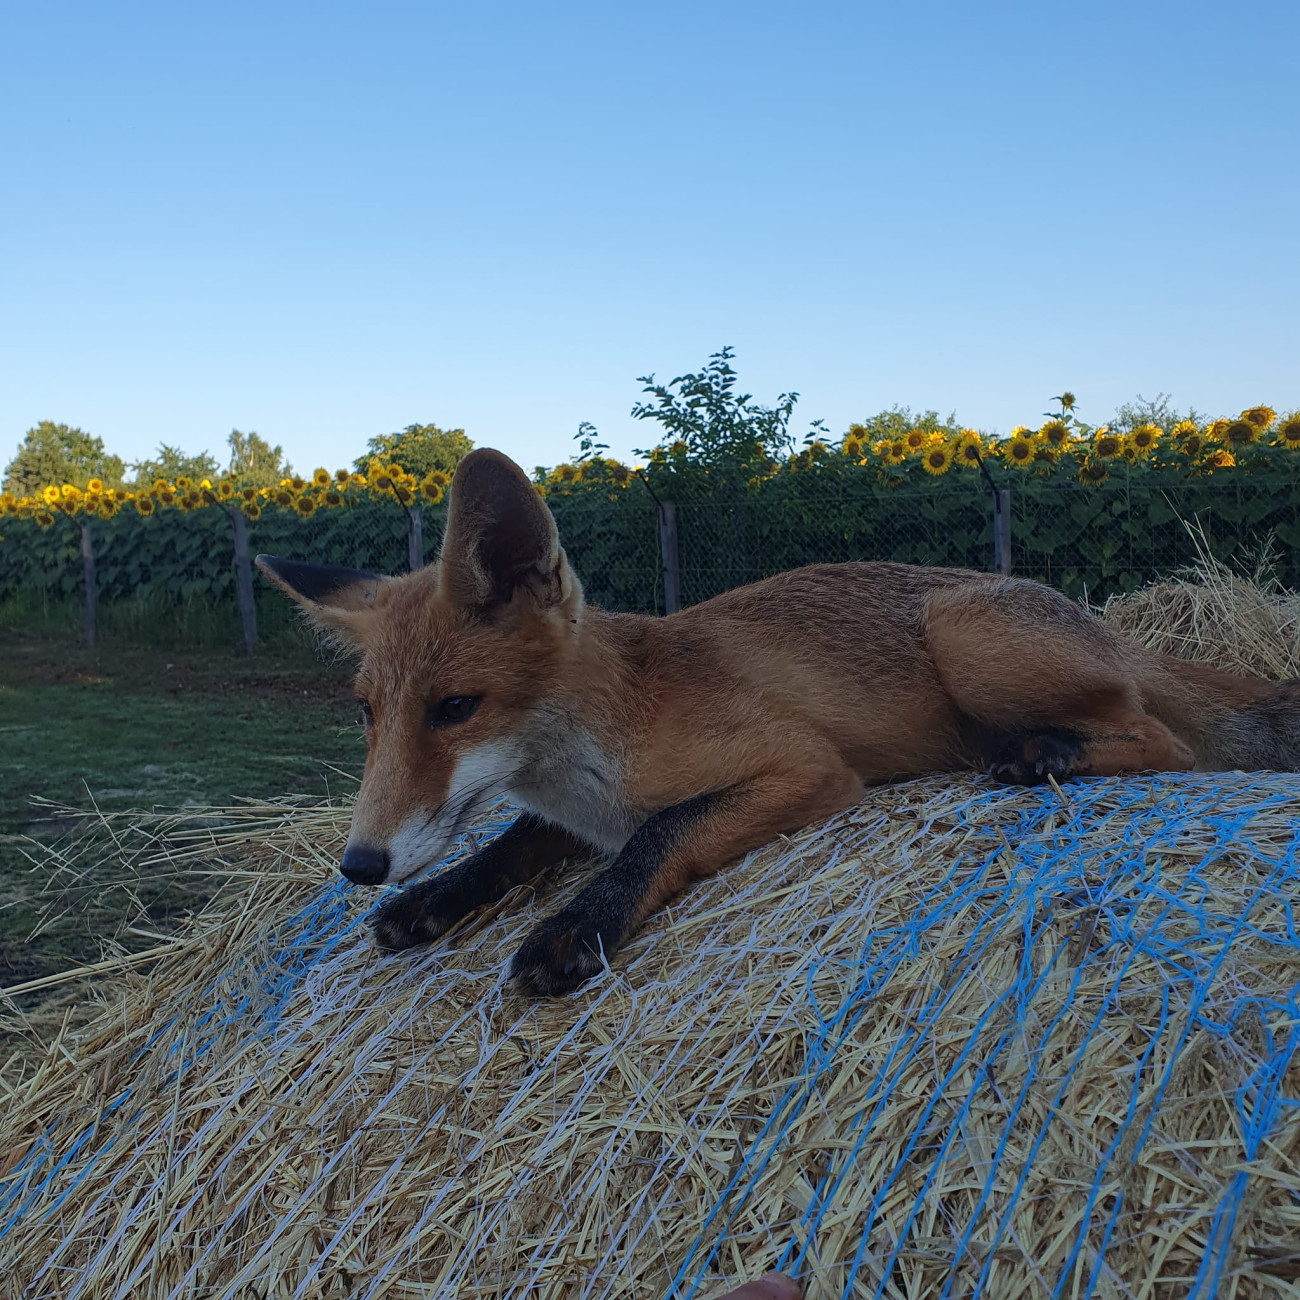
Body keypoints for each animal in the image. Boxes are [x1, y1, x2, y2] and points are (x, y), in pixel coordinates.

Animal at [256, 447, 1300, 993]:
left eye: (455, 709)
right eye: (365, 714)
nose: (359, 864)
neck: (597, 752)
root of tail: (1114, 626)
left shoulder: (805, 769)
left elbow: (662, 833)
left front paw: (580, 924)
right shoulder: (569, 815)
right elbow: (507, 845)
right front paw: (433, 898)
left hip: (968, 639)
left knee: (1169, 743)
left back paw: (1044, 755)